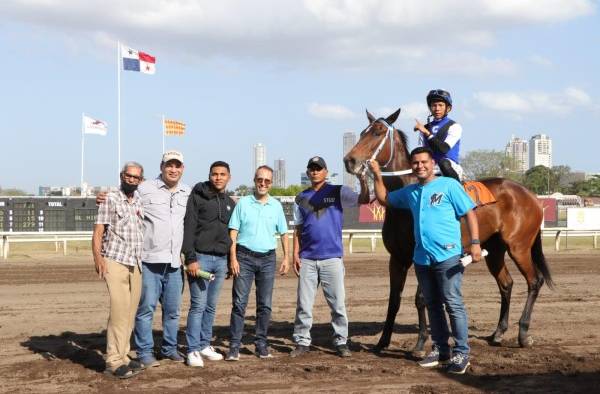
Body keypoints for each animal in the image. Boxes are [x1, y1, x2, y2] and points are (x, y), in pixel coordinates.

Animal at [342, 108, 552, 354]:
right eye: (362, 132)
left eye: (377, 132)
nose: (349, 160)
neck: (407, 198)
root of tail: (530, 195)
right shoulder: (397, 258)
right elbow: (394, 300)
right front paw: (382, 342)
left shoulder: (423, 256)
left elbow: (421, 298)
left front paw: (420, 343)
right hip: (494, 250)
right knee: (506, 284)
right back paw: (498, 333)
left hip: (519, 246)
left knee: (534, 281)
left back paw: (523, 334)